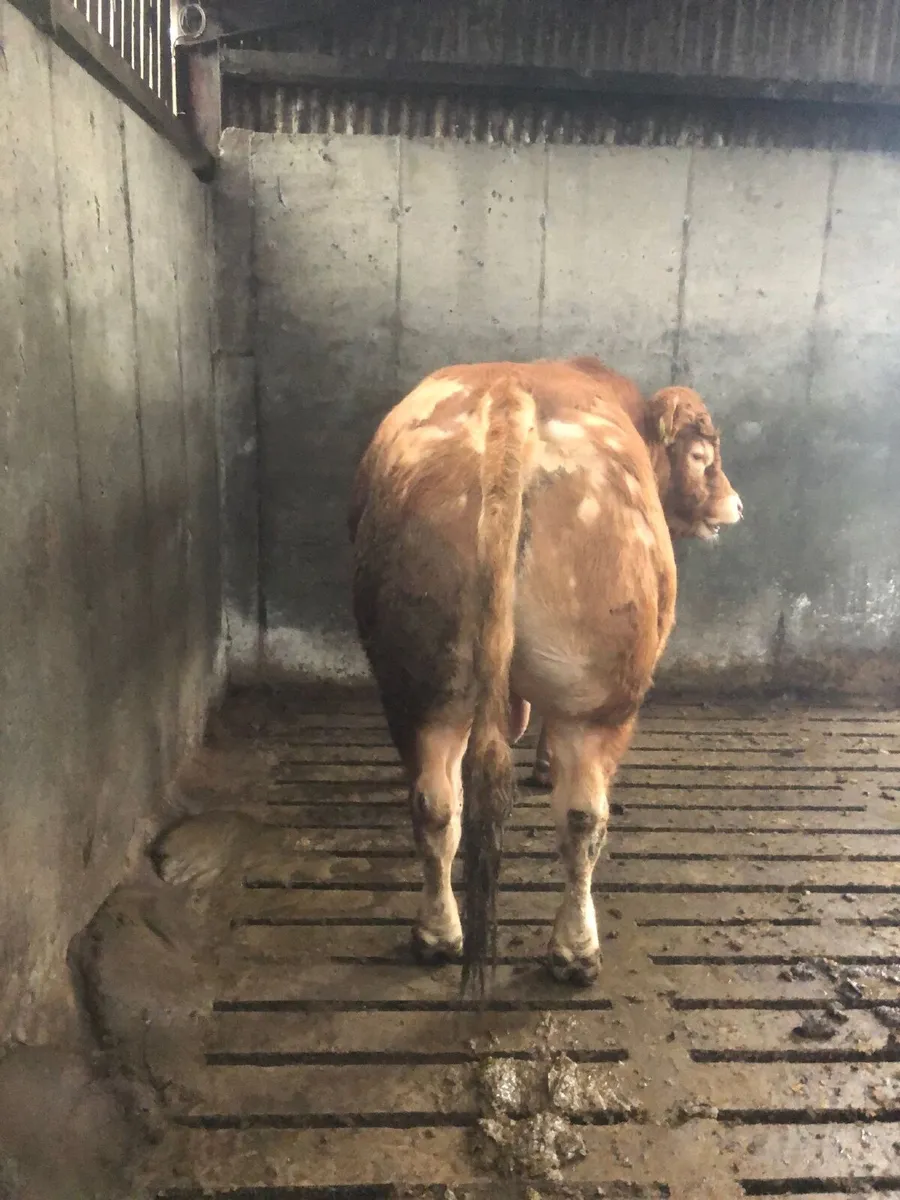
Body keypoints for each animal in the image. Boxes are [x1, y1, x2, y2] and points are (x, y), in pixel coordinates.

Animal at [348, 356, 742, 997]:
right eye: (701, 453)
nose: (733, 505)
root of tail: (509, 399)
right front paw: (543, 765)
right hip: (601, 695)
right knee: (583, 817)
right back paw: (575, 950)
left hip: (420, 681)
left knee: (437, 802)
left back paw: (437, 935)